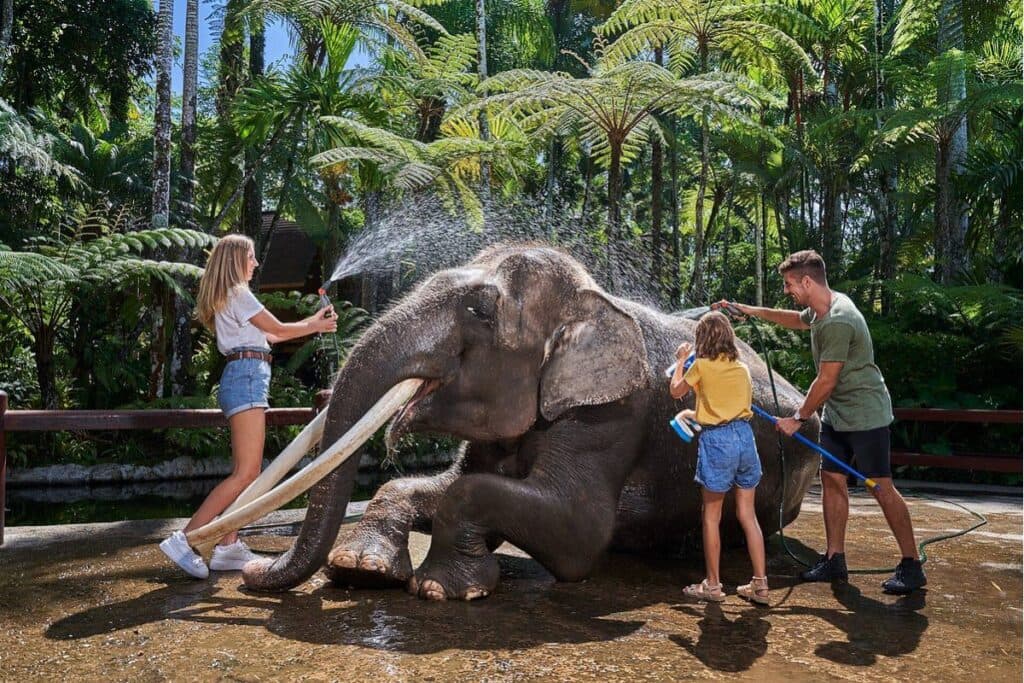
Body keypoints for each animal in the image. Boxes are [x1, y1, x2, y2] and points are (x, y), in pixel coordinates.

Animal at [242, 244, 820, 599]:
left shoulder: (612, 414)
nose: (250, 568)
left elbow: (578, 531)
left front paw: (438, 589)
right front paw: (359, 569)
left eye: (478, 311)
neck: (591, 297)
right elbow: (441, 483)